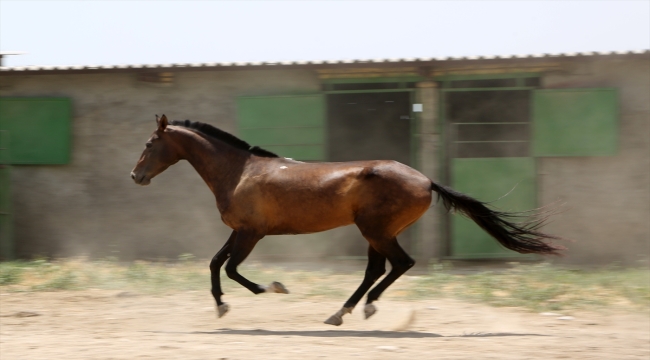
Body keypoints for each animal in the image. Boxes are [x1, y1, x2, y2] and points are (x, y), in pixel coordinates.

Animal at [129, 114, 560, 326]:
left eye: (150, 143)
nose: (136, 176)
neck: (239, 171)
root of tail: (425, 179)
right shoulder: (239, 231)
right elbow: (215, 263)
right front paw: (221, 307)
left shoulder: (252, 233)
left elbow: (233, 269)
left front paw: (273, 288)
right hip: (374, 234)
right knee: (377, 270)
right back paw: (343, 312)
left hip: (377, 231)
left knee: (399, 264)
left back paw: (360, 309)